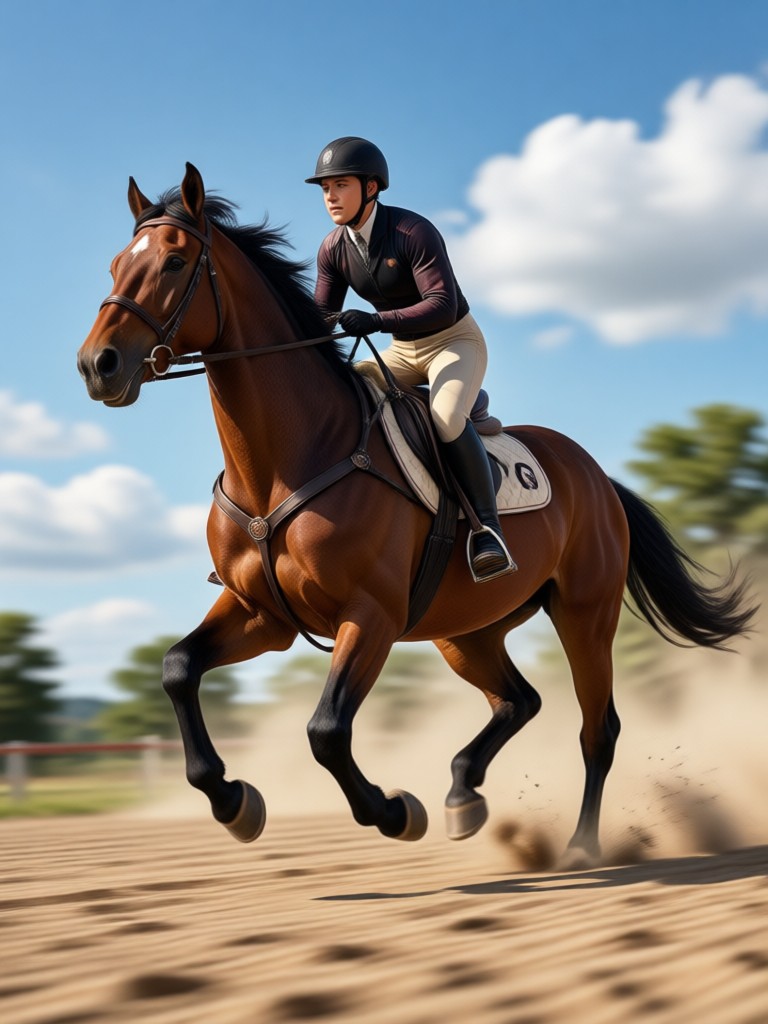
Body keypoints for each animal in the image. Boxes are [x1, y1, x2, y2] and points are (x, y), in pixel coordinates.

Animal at [77, 163, 755, 866]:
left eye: (175, 262)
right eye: (114, 265)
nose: (97, 366)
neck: (283, 462)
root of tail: (596, 476)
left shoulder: (369, 615)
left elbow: (326, 730)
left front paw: (395, 812)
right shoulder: (262, 615)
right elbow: (178, 670)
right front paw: (233, 801)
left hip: (584, 614)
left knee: (598, 730)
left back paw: (578, 847)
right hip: (465, 630)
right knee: (519, 700)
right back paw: (464, 794)